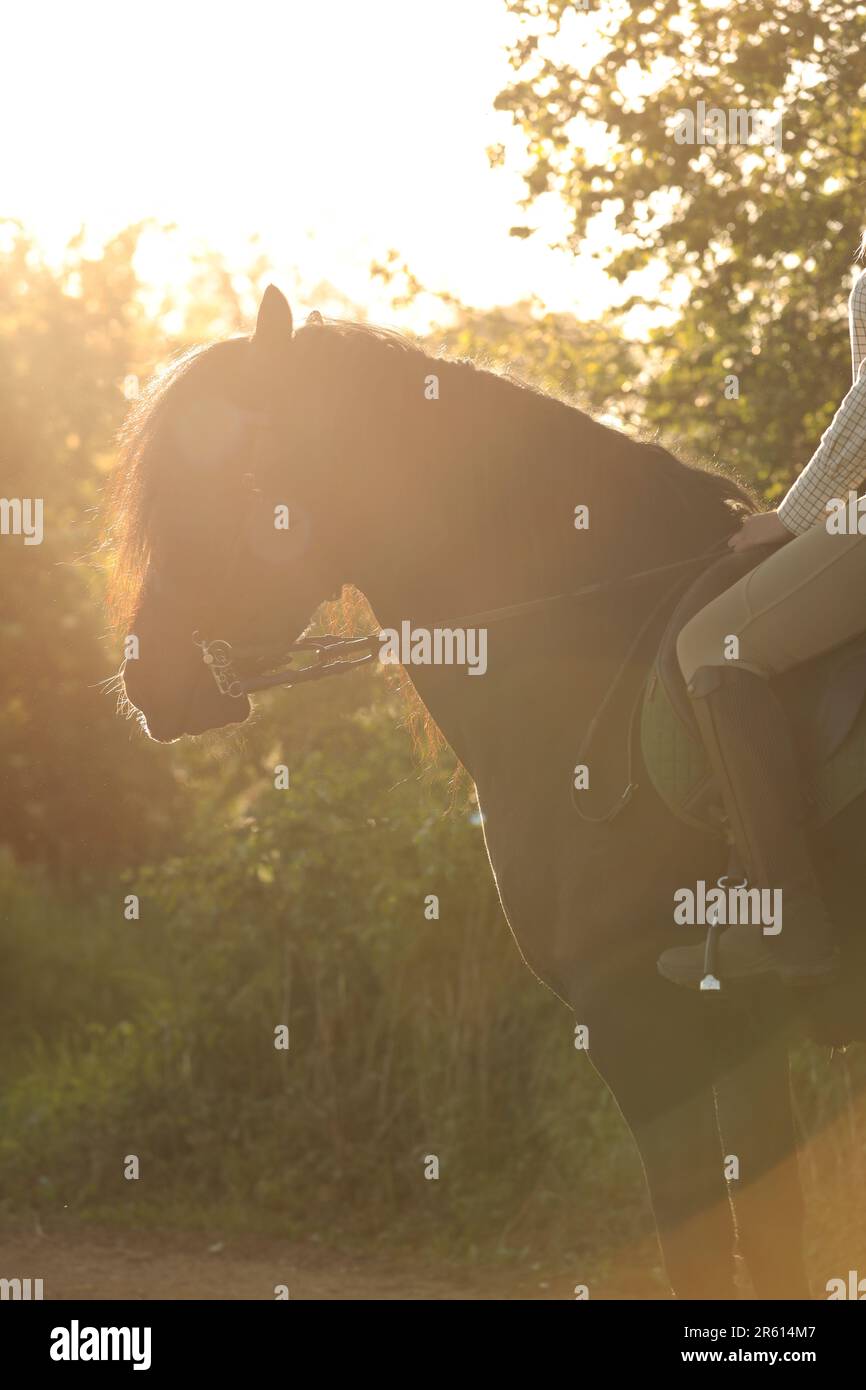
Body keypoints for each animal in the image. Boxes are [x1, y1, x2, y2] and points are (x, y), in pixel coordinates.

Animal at [111, 287, 861, 1295]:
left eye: (234, 480)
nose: (148, 678)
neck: (591, 647)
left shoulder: (639, 1021)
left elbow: (702, 1250)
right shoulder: (742, 1031)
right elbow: (770, 1243)